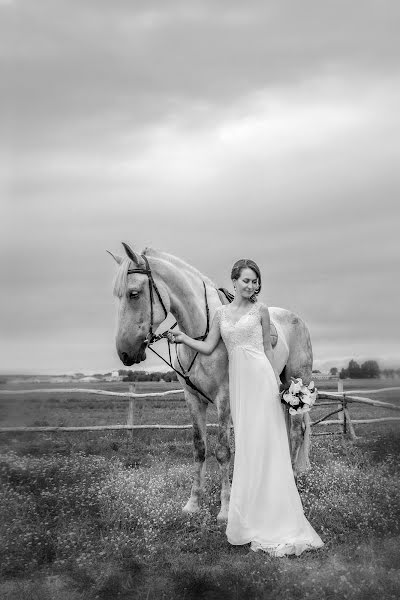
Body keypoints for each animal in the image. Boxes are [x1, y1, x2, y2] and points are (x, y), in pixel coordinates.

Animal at [109, 243, 316, 520]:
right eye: (118, 296)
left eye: (133, 294)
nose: (125, 353)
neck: (204, 332)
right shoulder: (193, 399)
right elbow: (199, 448)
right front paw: (193, 503)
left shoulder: (224, 398)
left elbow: (223, 451)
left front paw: (226, 509)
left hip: (297, 385)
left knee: (296, 431)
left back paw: (292, 478)